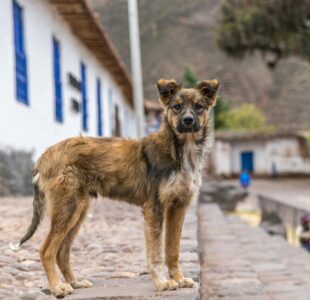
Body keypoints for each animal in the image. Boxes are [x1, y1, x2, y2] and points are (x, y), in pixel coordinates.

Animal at [13, 78, 219, 296]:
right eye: (177, 107)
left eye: (198, 107)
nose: (188, 120)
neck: (181, 150)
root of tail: (45, 155)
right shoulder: (155, 208)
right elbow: (155, 252)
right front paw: (162, 282)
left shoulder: (179, 207)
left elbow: (173, 250)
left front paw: (178, 279)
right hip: (67, 208)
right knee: (46, 250)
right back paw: (57, 287)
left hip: (78, 210)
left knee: (62, 251)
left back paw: (74, 283)